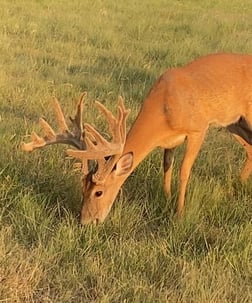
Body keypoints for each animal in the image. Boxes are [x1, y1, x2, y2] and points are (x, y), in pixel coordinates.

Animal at [22, 53, 252, 226]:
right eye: (82, 188)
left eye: (98, 192)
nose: (85, 221)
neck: (165, 107)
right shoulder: (169, 142)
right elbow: (167, 166)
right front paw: (166, 198)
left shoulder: (198, 129)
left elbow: (184, 171)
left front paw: (179, 213)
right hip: (235, 122)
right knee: (249, 148)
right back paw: (236, 186)